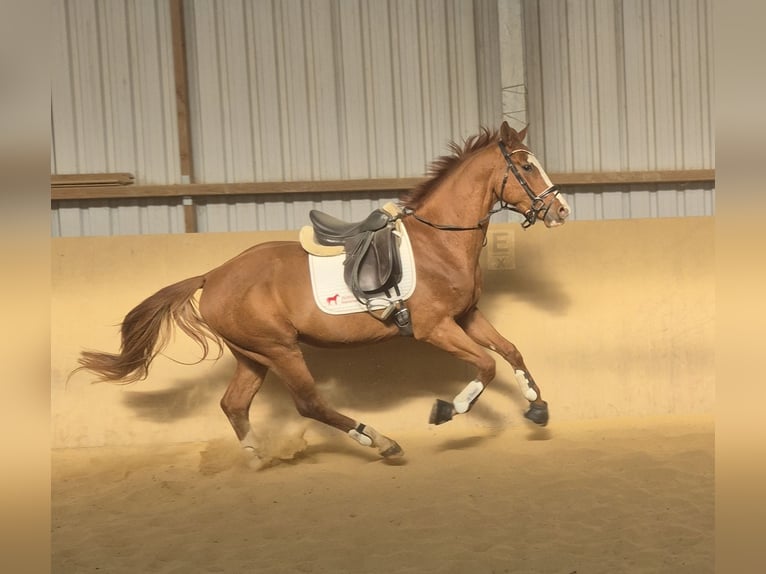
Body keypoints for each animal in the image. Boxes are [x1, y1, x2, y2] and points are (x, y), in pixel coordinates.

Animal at [74, 121, 571, 464]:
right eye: (527, 166)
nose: (561, 211)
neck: (439, 240)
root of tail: (212, 276)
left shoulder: (467, 316)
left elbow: (511, 351)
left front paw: (537, 406)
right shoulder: (434, 327)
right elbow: (486, 365)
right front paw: (448, 409)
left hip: (253, 355)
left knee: (234, 404)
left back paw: (258, 460)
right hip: (280, 349)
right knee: (309, 403)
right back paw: (381, 442)